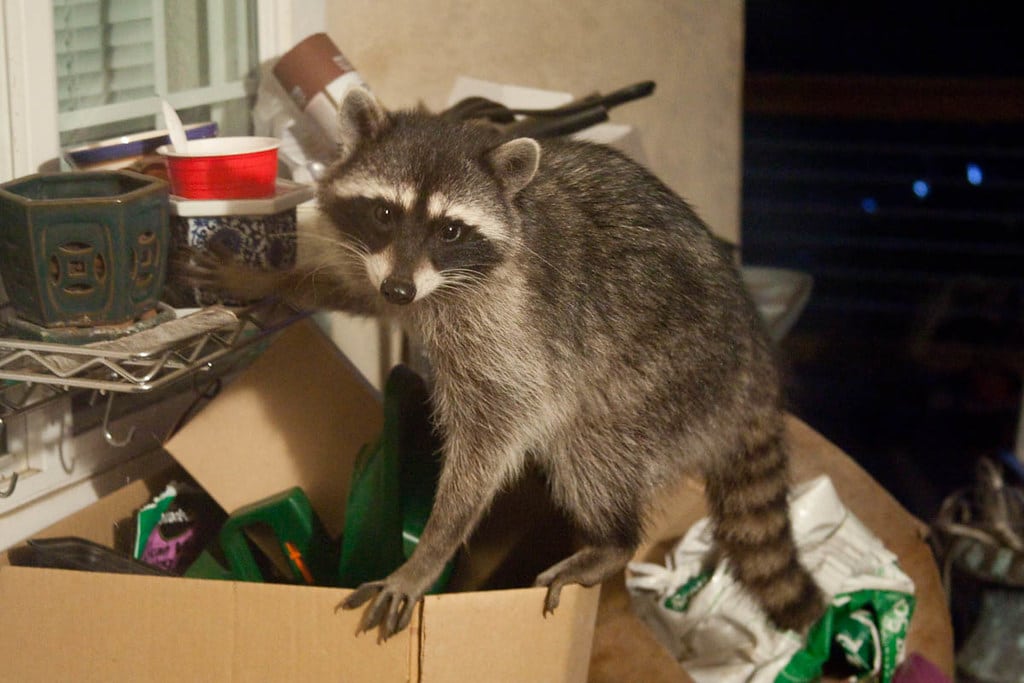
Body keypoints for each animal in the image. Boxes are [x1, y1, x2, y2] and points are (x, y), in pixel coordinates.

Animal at [184, 87, 825, 638]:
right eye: (385, 214)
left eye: (449, 230)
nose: (400, 291)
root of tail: (756, 367)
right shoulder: (381, 263)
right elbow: (352, 285)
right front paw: (269, 277)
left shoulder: (510, 323)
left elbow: (499, 426)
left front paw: (428, 553)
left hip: (666, 376)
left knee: (588, 448)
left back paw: (613, 540)